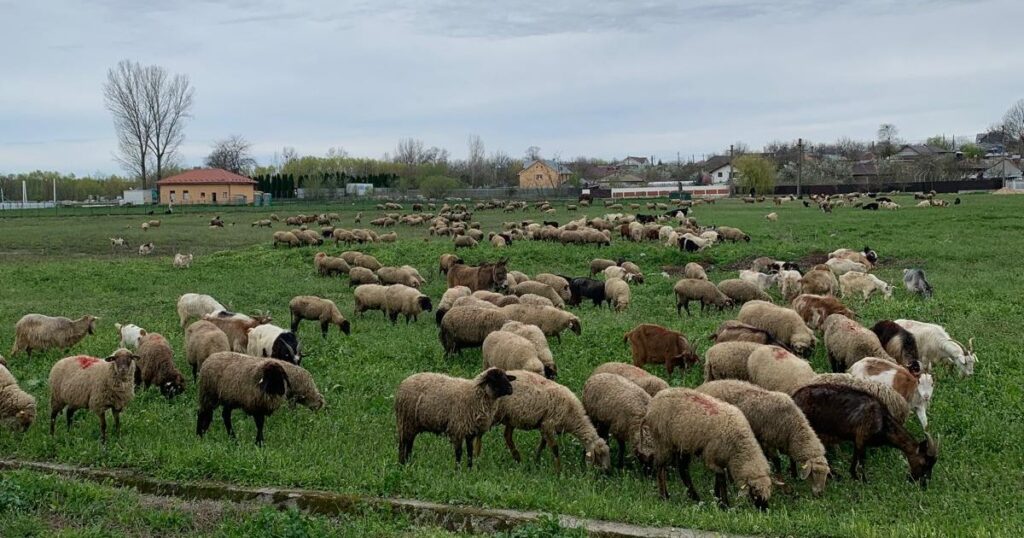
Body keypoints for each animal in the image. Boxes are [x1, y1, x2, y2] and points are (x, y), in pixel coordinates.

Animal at [696, 380, 830, 495]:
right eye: (814, 473)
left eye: (826, 474)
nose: (819, 493)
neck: (793, 427)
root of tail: (702, 387)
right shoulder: (768, 442)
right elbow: (777, 462)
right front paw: (783, 485)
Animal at [792, 383, 936, 484]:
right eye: (924, 463)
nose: (923, 484)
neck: (883, 422)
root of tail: (794, 397)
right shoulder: (862, 437)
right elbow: (862, 461)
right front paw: (864, 481)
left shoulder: (857, 439)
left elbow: (855, 458)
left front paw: (854, 476)